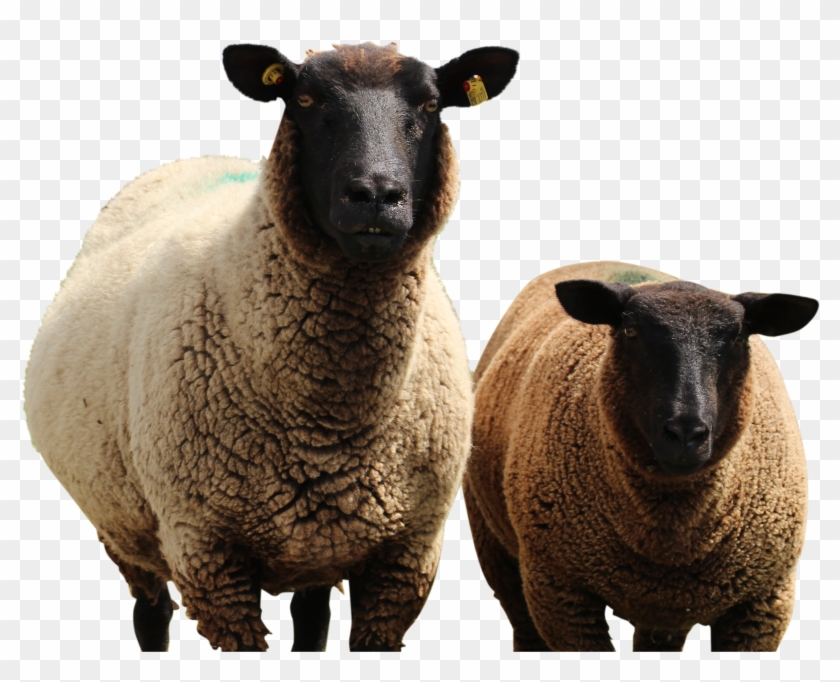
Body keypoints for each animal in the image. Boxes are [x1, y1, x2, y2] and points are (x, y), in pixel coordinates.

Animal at [24, 42, 519, 652]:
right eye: (304, 99)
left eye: (431, 104)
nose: (376, 197)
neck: (330, 421)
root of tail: (196, 160)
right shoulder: (209, 557)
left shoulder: (405, 560)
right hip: (124, 525)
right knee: (151, 612)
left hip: (318, 545)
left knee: (310, 616)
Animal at [464, 260, 818, 652]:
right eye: (631, 331)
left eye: (740, 338)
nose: (685, 433)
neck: (670, 533)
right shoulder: (562, 595)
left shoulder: (762, 604)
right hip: (496, 548)